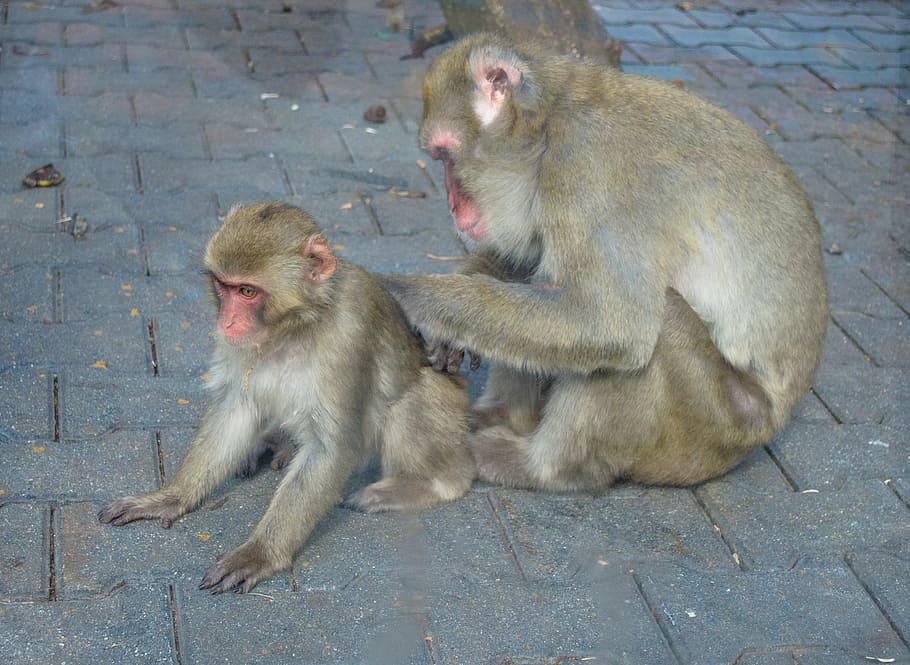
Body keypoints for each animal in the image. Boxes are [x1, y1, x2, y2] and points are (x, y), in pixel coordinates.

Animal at [99, 202, 474, 594]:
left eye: (248, 292)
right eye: (223, 287)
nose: (226, 323)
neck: (297, 325)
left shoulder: (348, 335)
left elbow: (332, 448)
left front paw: (260, 553)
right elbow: (236, 409)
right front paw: (171, 497)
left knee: (409, 403)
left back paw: (430, 483)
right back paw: (279, 442)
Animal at [381, 33, 828, 492]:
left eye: (444, 156)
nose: (452, 207)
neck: (550, 124)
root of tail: (771, 422)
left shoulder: (588, 168)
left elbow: (608, 324)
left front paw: (404, 294)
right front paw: (451, 314)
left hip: (714, 425)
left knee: (656, 322)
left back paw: (540, 467)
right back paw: (505, 418)